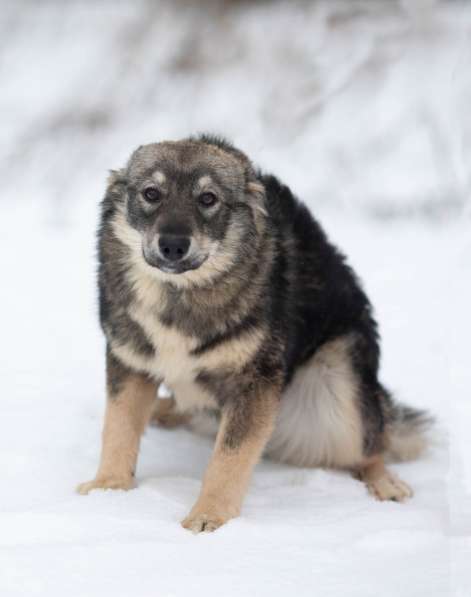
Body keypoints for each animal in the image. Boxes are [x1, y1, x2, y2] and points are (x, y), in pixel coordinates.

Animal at [76, 134, 432, 532]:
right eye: (151, 193)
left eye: (208, 198)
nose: (172, 245)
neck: (179, 295)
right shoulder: (131, 364)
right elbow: (118, 430)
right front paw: (109, 488)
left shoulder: (253, 384)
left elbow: (228, 460)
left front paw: (209, 516)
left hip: (339, 388)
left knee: (371, 447)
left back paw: (385, 482)